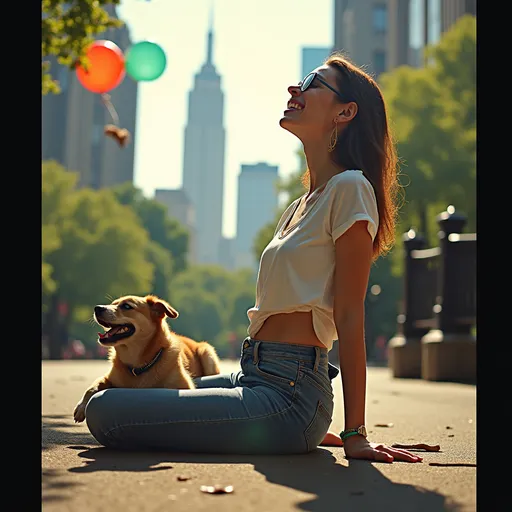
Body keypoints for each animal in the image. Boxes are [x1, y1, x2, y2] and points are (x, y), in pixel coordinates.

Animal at [73, 294, 221, 422]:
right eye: (113, 303)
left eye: (126, 306)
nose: (97, 308)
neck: (138, 364)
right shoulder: (108, 378)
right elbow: (93, 386)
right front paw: (81, 407)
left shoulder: (185, 387)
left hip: (206, 353)